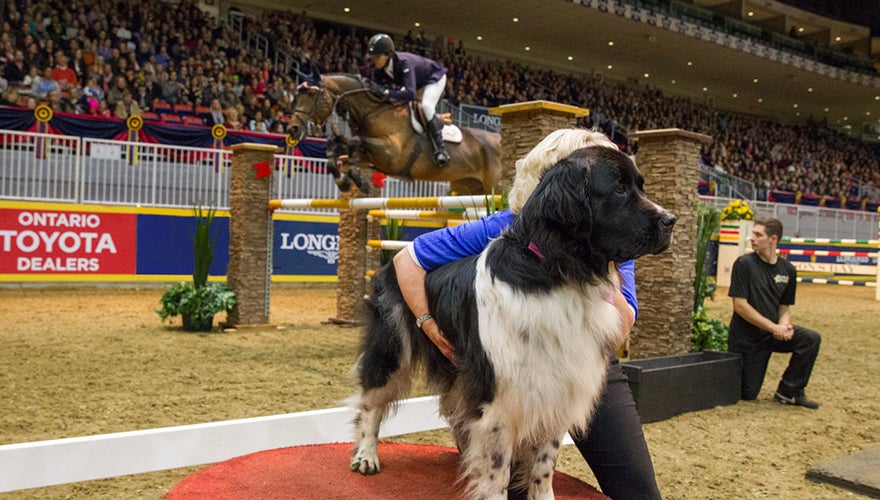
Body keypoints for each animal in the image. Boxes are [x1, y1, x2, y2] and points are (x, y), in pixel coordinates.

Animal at [348, 146, 672, 498]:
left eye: (639, 185)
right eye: (619, 189)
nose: (671, 220)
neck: (558, 274)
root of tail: (391, 259)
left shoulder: (556, 390)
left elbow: (544, 464)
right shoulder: (501, 401)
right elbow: (496, 469)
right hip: (393, 348)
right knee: (371, 402)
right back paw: (366, 456)